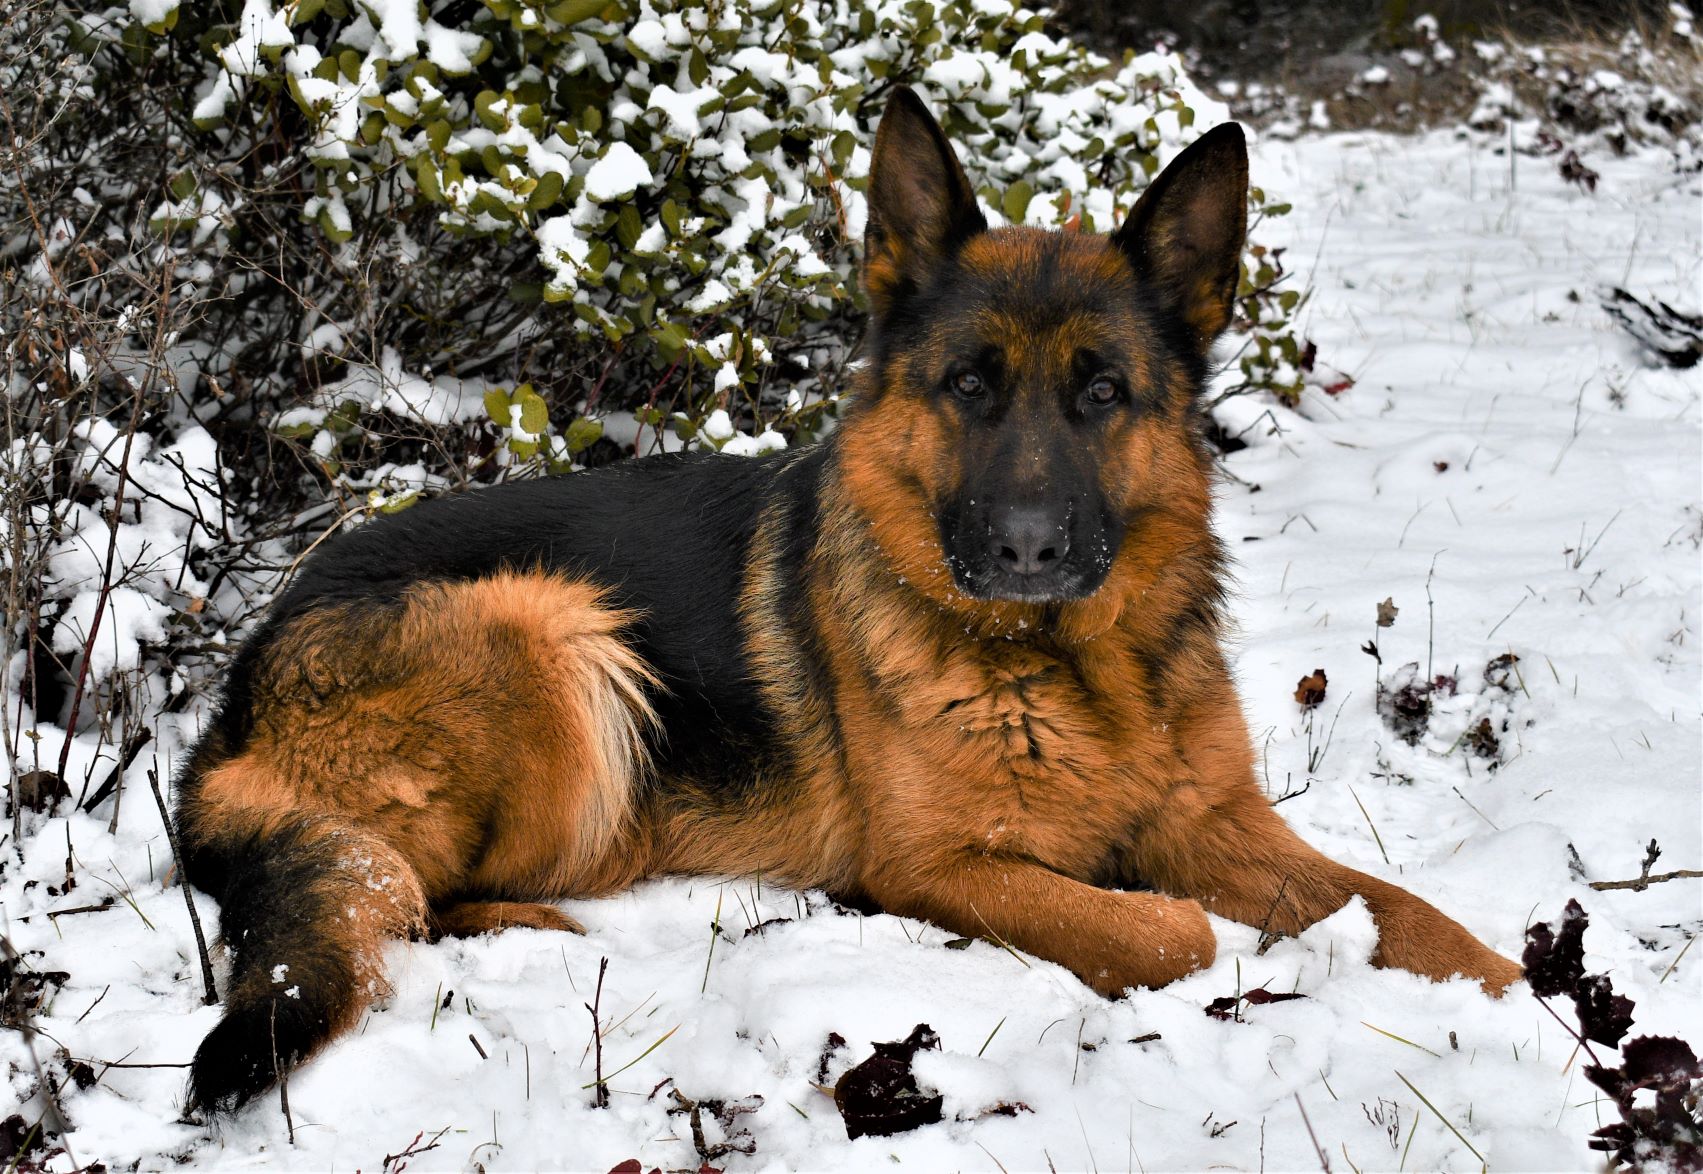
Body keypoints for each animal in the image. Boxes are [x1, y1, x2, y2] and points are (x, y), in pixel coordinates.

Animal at [176, 86, 1519, 1110]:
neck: (1064, 665)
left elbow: (1397, 905)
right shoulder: (938, 867)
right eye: (968, 385)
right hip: (551, 629)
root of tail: (233, 704)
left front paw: (1521, 996)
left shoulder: (1218, 824)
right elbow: (1170, 929)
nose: (1027, 550)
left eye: (1101, 394)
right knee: (419, 893)